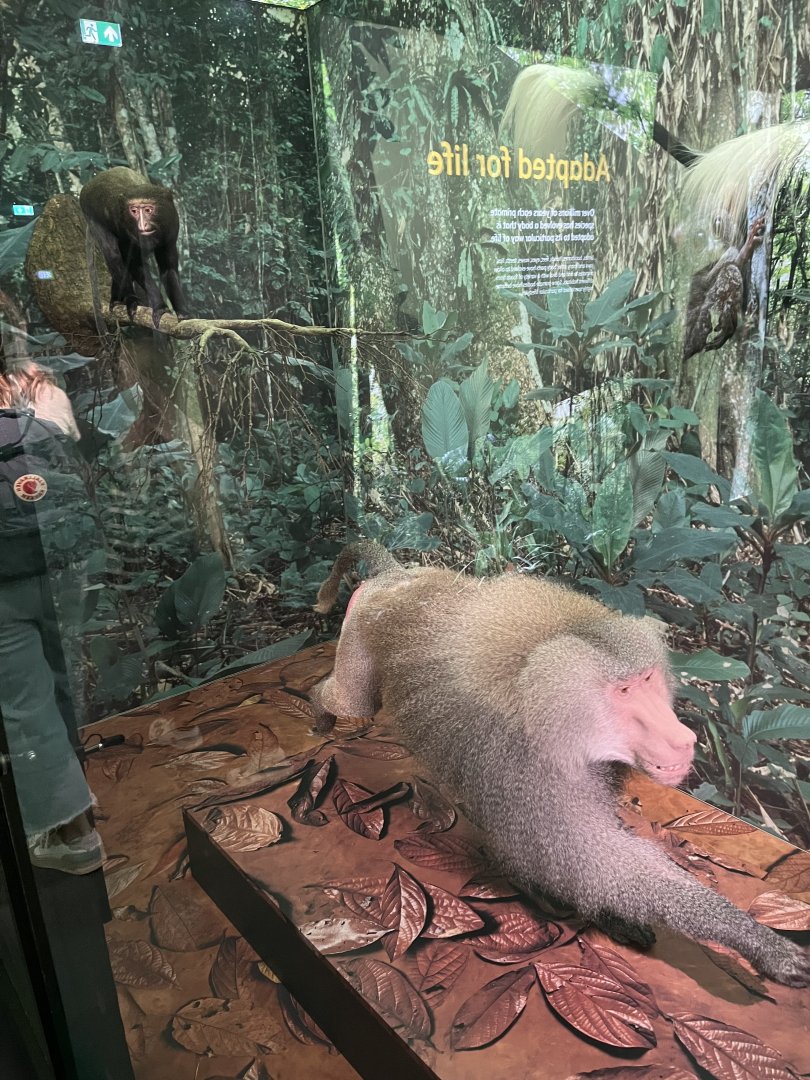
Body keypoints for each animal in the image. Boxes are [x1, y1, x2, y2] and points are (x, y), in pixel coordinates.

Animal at [80, 166, 188, 328]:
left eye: (148, 210)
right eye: (134, 211)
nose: (142, 225)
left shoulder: (172, 227)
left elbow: (168, 269)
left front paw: (182, 312)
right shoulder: (128, 232)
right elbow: (134, 264)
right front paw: (160, 307)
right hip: (90, 214)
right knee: (113, 255)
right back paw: (127, 299)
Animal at [310, 541, 810, 988]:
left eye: (648, 679)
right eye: (623, 692)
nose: (683, 741)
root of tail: (397, 576)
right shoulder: (527, 767)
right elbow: (591, 861)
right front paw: (762, 943)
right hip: (359, 633)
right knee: (350, 700)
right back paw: (318, 709)